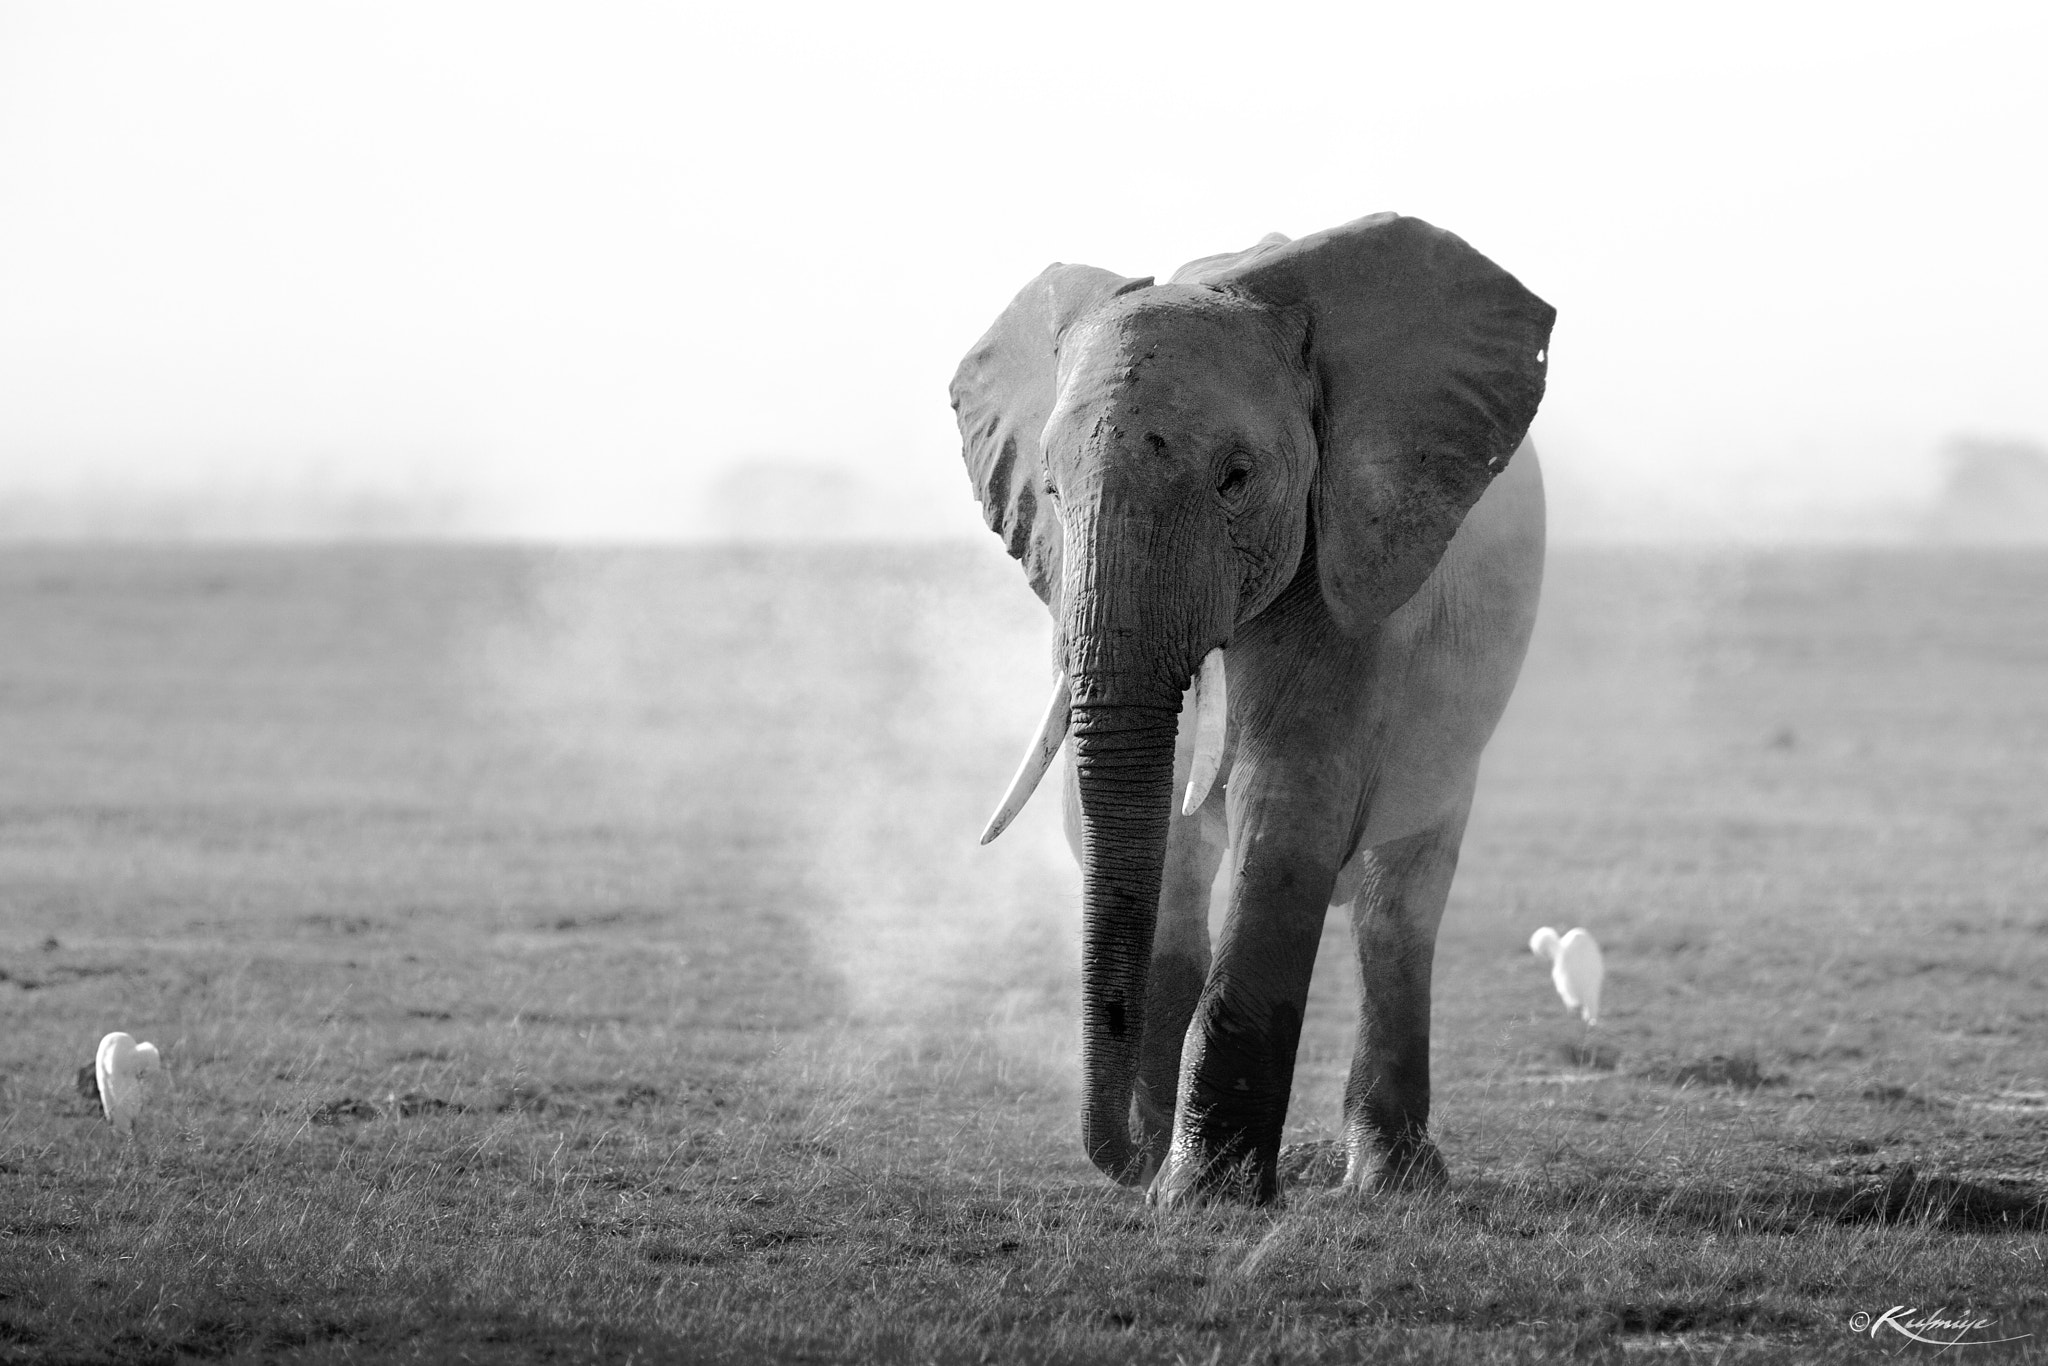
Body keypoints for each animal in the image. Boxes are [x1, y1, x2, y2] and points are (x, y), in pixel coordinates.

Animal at [950, 214, 1540, 1204]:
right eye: (1054, 491)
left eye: (1235, 478)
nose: (1128, 1159)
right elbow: (1138, 827)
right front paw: (1170, 1169)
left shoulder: (1353, 562)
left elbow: (1287, 806)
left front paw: (1203, 1198)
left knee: (1398, 902)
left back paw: (1394, 1179)